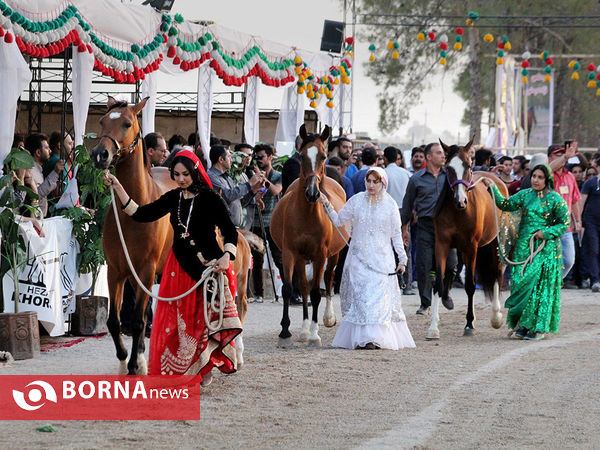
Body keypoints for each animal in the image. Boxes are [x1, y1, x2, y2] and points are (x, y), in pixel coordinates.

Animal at [270, 125, 350, 346]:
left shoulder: (320, 255)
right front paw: (286, 332)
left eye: (323, 156)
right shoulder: (291, 253)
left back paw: (328, 318)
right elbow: (290, 288)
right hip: (302, 258)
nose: (313, 193)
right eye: (301, 155)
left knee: (329, 278)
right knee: (305, 286)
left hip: (333, 255)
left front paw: (315, 334)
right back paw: (304, 329)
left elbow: (316, 293)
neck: (306, 215)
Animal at [426, 139, 506, 340]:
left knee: (497, 273)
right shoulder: (442, 245)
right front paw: (433, 327)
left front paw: (469, 324)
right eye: (448, 168)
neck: (458, 212)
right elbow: (438, 283)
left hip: (496, 242)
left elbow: (470, 285)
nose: (460, 200)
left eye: (468, 166)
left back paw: (496, 316)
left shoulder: (471, 247)